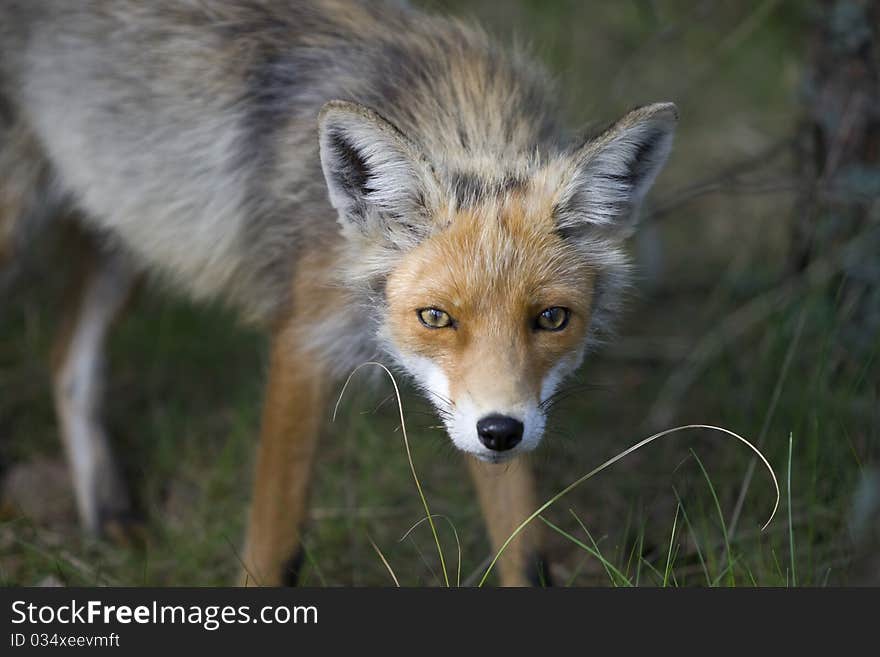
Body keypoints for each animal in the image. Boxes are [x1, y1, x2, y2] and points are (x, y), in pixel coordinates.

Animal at [0, 0, 680, 584]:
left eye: (552, 319)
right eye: (436, 317)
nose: (500, 432)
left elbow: (524, 554)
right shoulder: (305, 342)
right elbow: (273, 549)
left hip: (128, 219)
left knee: (67, 361)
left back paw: (107, 511)